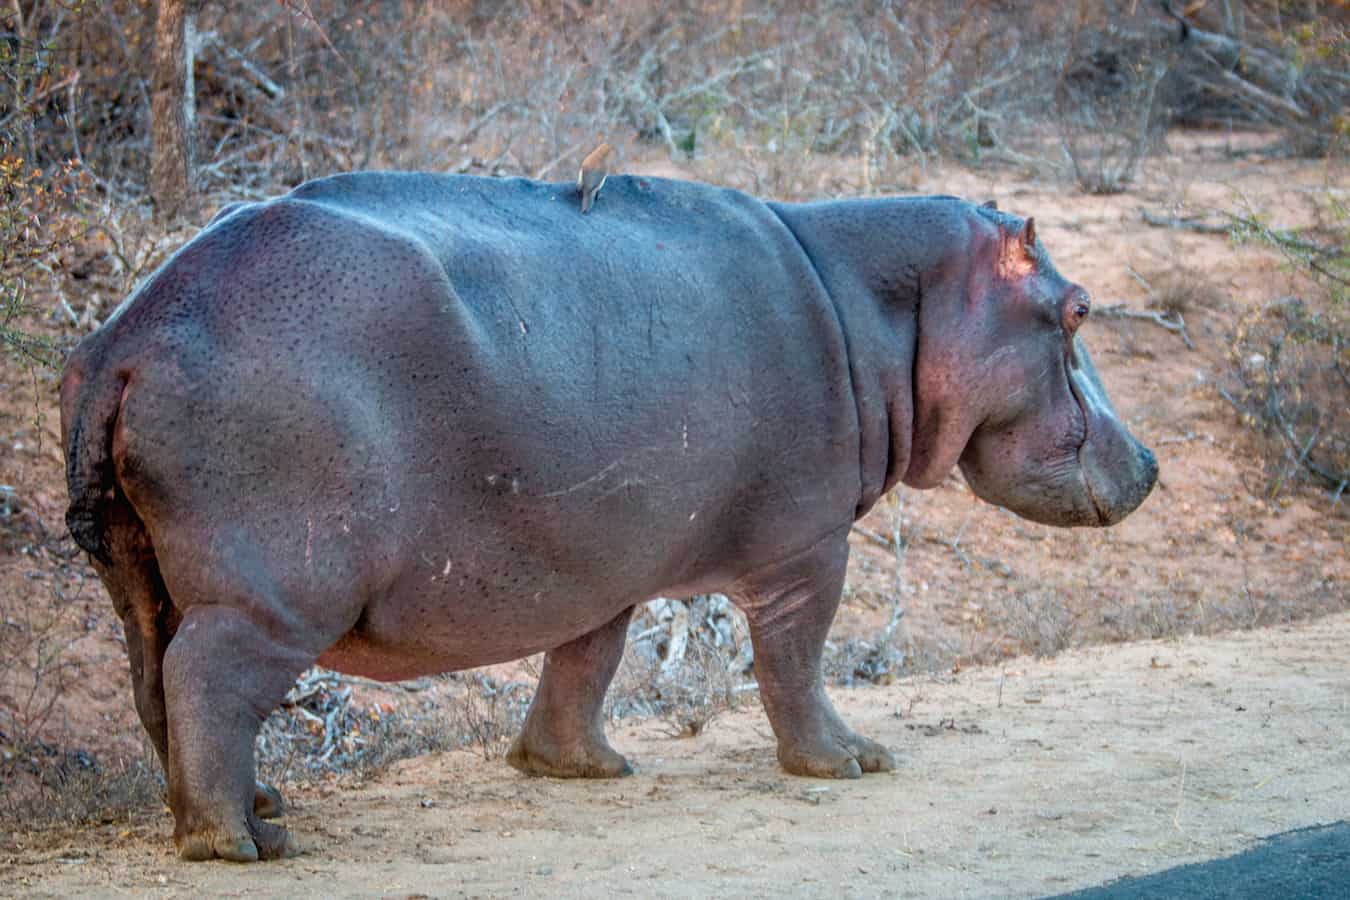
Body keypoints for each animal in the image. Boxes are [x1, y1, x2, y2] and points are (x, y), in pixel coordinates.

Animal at [60, 172, 1161, 863]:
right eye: (1077, 309)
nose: (1151, 463)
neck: (888, 302)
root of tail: (125, 334)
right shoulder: (808, 545)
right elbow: (795, 659)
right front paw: (852, 763)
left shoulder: (600, 555)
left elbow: (585, 660)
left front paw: (580, 769)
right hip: (271, 596)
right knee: (210, 680)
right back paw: (243, 844)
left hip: (140, 576)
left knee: (155, 685)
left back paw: (253, 809)